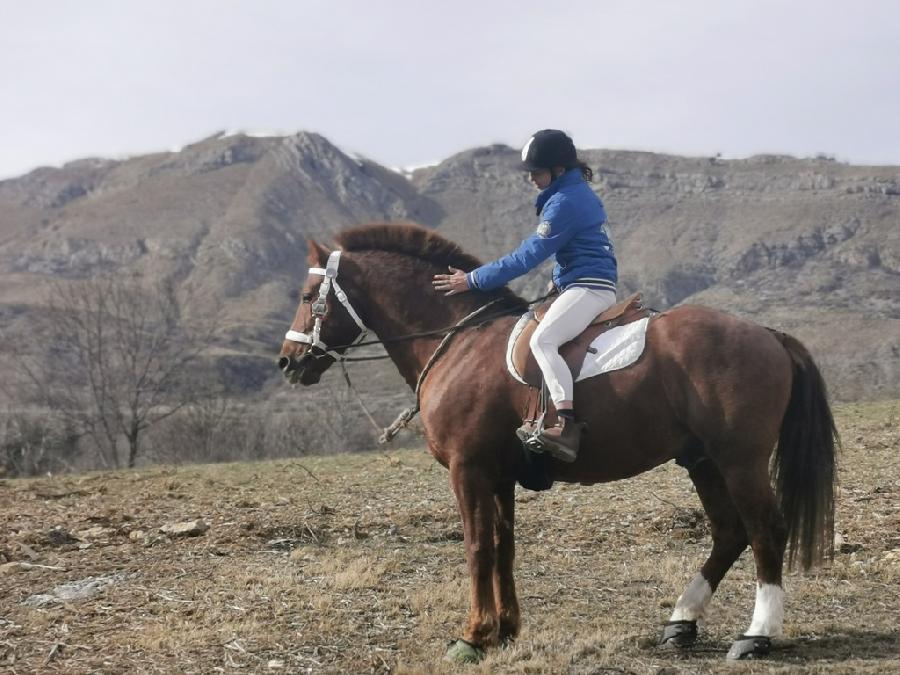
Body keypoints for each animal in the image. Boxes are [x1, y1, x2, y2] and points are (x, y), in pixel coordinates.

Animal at [280, 220, 836, 660]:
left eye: (308, 298)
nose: (287, 362)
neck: (459, 340)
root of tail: (768, 333)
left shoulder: (469, 470)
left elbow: (477, 547)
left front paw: (472, 636)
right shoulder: (499, 475)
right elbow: (502, 547)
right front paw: (504, 631)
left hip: (739, 460)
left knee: (765, 530)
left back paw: (756, 635)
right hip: (702, 461)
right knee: (729, 532)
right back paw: (681, 622)